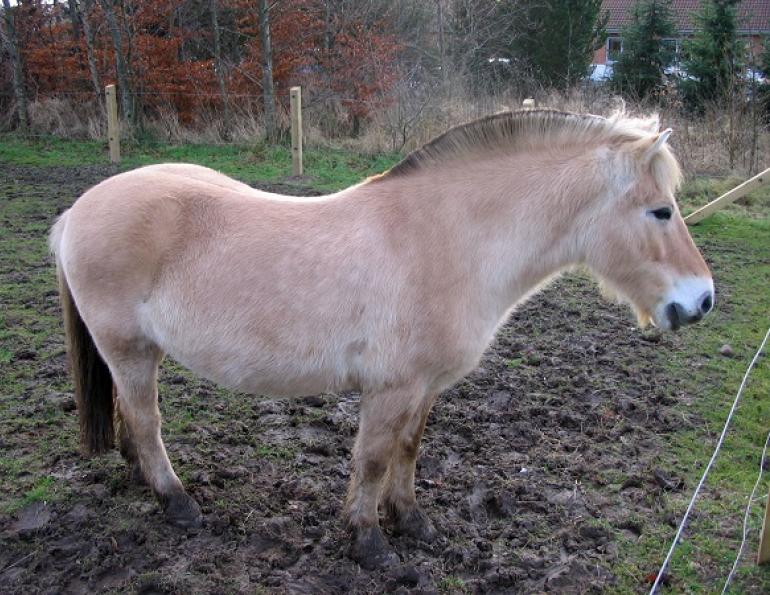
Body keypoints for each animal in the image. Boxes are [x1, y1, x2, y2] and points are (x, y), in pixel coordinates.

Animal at [49, 109, 714, 569]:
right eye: (660, 211)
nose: (701, 300)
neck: (445, 239)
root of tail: (79, 210)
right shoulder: (389, 387)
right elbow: (371, 458)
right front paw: (370, 544)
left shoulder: (424, 387)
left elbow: (408, 451)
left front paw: (412, 522)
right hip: (129, 349)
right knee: (146, 421)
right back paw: (178, 503)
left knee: (130, 418)